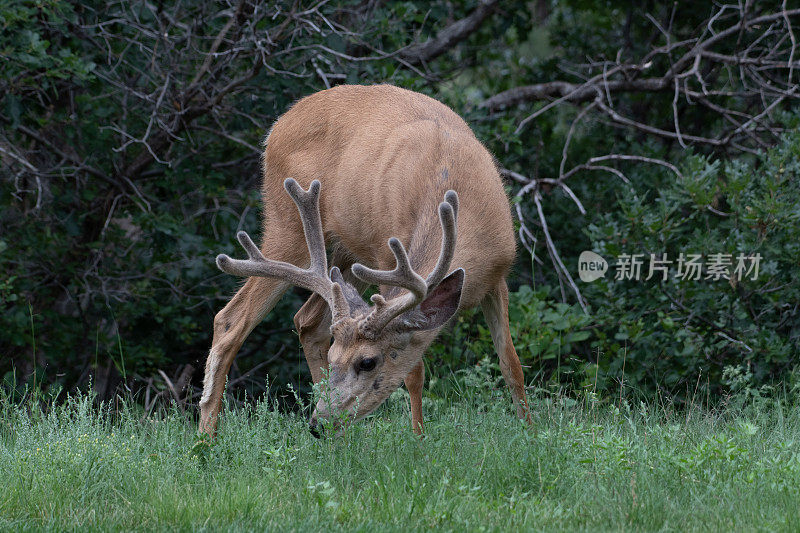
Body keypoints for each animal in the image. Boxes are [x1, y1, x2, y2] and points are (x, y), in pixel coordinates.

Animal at [200, 83, 532, 436]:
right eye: (339, 358)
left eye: (367, 362)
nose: (317, 424)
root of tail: (277, 126)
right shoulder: (388, 258)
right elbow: (415, 374)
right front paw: (419, 437)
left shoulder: (498, 274)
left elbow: (510, 362)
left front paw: (529, 428)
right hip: (286, 222)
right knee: (230, 318)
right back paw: (207, 434)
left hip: (347, 253)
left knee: (307, 321)